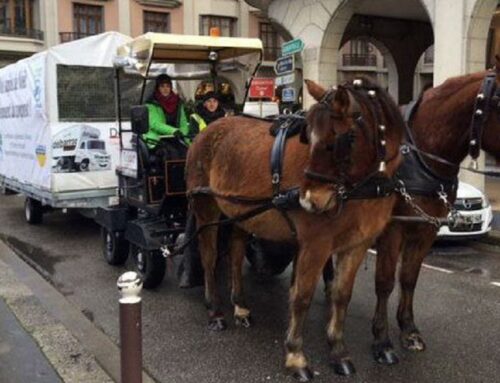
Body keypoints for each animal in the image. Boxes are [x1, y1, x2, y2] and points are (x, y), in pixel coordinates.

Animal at [186, 76, 404, 380]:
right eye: (308, 136)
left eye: (342, 139)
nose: (309, 201)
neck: (358, 188)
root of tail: (208, 130)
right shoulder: (315, 244)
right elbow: (301, 297)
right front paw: (295, 356)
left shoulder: (357, 244)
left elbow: (341, 295)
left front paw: (338, 351)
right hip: (205, 207)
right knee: (208, 257)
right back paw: (215, 311)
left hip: (241, 213)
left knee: (236, 255)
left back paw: (240, 307)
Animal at [366, 57, 500, 366]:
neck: (419, 158)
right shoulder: (393, 229)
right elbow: (385, 282)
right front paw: (382, 339)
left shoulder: (425, 229)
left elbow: (409, 278)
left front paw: (409, 329)